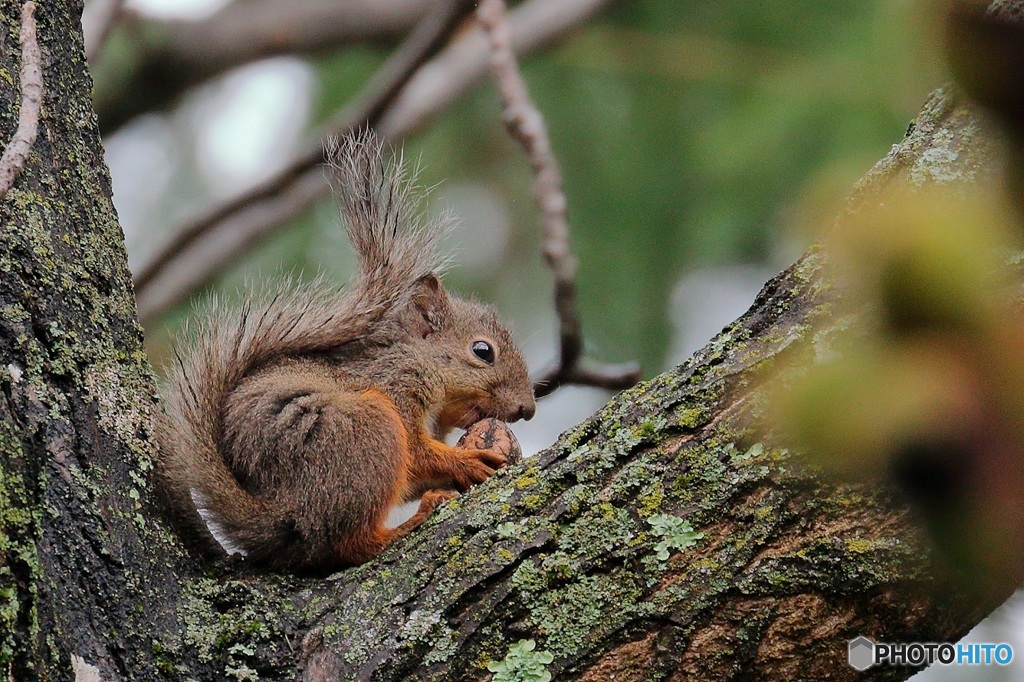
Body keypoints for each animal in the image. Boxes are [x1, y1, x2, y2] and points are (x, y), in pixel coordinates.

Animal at [156, 130, 540, 569]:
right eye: (482, 351)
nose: (527, 409)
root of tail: (280, 517)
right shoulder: (394, 386)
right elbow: (417, 452)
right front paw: (466, 460)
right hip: (367, 430)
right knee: (349, 544)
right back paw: (409, 524)